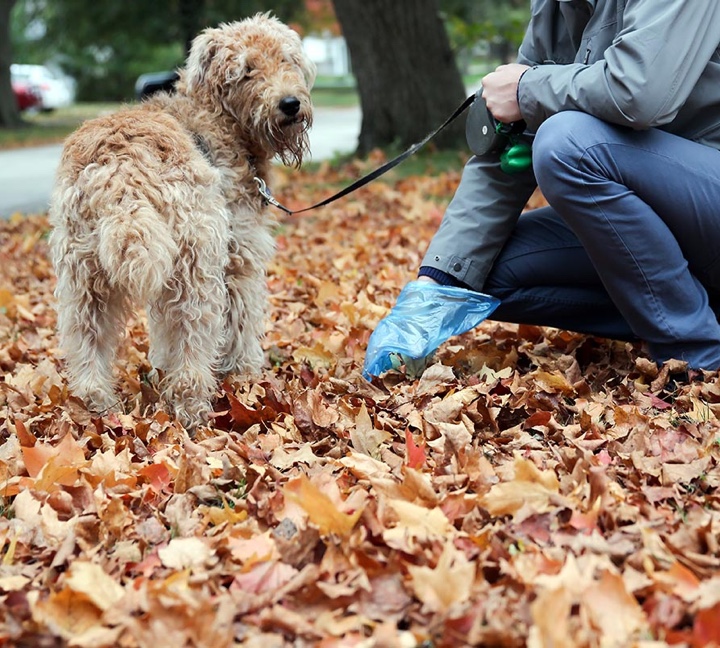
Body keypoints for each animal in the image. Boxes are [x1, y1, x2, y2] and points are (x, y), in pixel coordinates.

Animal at [46, 13, 314, 426]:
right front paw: (245, 373)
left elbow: (162, 332)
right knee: (194, 341)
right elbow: (241, 322)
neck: (218, 117)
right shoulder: (239, 258)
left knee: (86, 341)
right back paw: (194, 408)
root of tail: (122, 169)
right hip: (196, 267)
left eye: (286, 59)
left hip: (84, 276)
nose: (290, 104)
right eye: (247, 70)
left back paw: (98, 405)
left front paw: (160, 367)